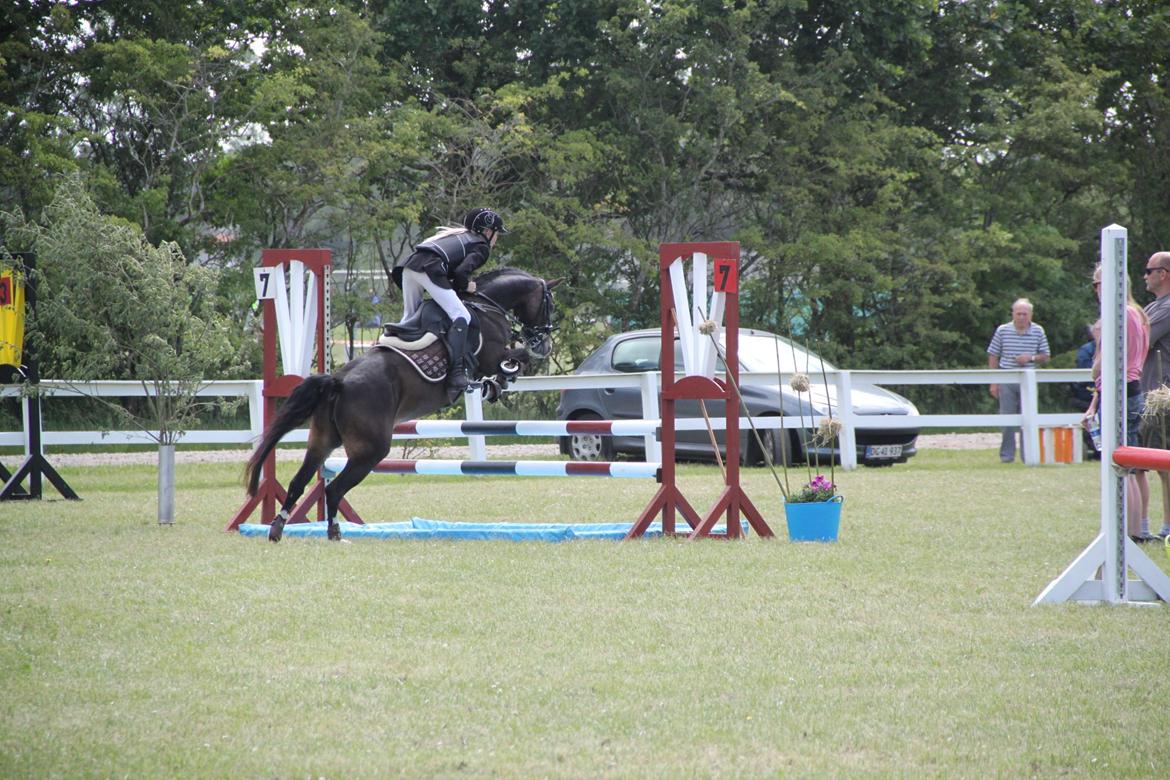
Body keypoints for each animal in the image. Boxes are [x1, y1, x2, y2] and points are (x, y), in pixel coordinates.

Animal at [244, 268, 559, 542]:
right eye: (549, 304)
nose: (545, 345)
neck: (486, 307)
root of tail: (338, 381)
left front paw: (495, 385)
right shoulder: (490, 357)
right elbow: (516, 358)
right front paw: (499, 381)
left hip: (322, 441)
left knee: (299, 482)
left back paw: (278, 530)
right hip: (370, 451)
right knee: (334, 490)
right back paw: (334, 534)